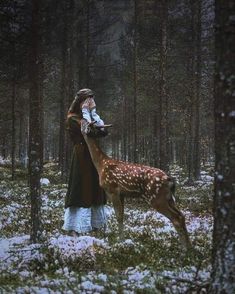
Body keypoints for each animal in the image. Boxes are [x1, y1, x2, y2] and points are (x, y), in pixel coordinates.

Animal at [81, 120, 191, 249]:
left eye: (86, 124)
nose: (82, 119)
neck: (101, 164)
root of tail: (170, 181)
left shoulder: (112, 190)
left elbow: (118, 216)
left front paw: (120, 241)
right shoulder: (122, 194)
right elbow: (122, 216)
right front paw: (123, 240)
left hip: (157, 198)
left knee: (176, 218)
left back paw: (184, 248)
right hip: (169, 198)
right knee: (181, 215)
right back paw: (190, 247)